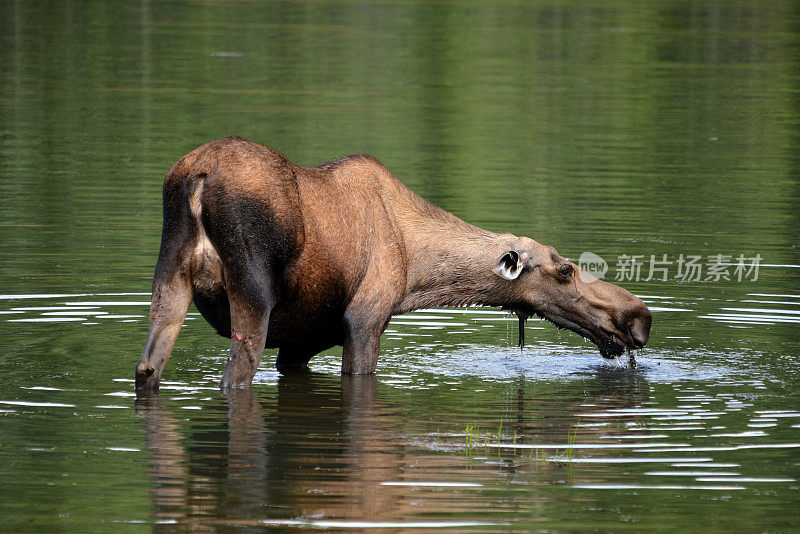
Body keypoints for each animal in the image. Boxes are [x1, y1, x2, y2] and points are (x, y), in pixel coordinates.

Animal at [136, 137, 648, 390]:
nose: (639, 318)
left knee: (146, 369)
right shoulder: (365, 318)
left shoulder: (302, 343)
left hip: (168, 281)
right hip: (253, 296)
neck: (416, 273)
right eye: (564, 270)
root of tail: (196, 179)